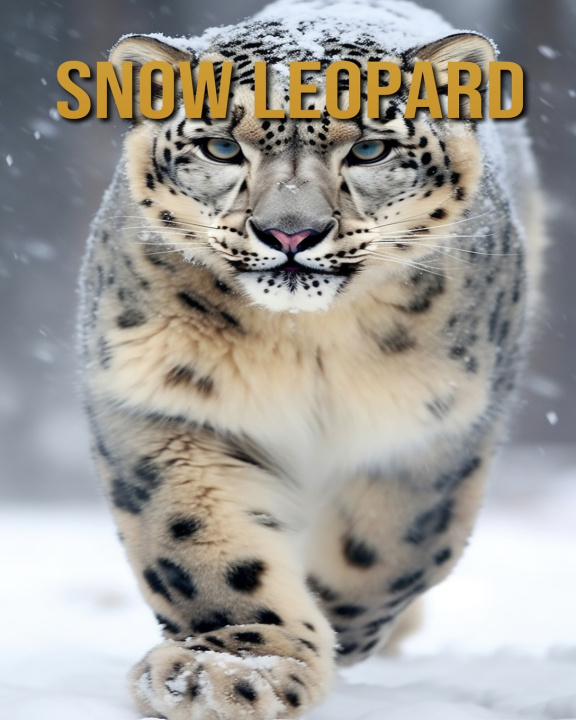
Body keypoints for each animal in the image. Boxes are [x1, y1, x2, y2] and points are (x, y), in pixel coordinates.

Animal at [78, 0, 545, 718]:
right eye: (220, 146)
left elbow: (385, 549)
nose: (290, 233)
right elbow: (197, 540)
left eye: (371, 147)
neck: (308, 345)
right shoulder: (165, 401)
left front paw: (326, 631)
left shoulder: (433, 425)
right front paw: (229, 670)